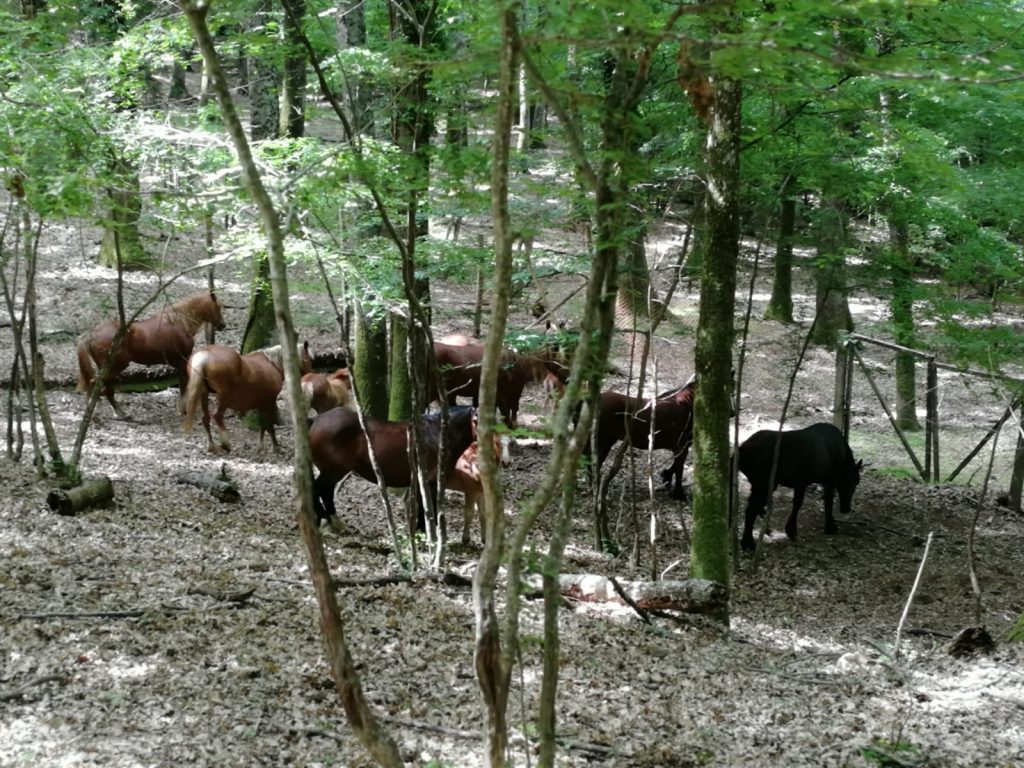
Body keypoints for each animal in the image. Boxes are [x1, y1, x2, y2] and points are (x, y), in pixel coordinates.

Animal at [76, 290, 226, 418]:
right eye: (218, 306)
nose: (223, 325)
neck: (180, 322)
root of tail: (92, 335)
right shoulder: (182, 361)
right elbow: (184, 384)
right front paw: (182, 409)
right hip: (115, 367)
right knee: (100, 386)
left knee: (102, 387)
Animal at [182, 342, 313, 453]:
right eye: (309, 359)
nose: (311, 374)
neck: (272, 363)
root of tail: (204, 354)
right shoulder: (269, 402)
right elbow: (269, 425)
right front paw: (275, 447)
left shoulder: (261, 404)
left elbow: (263, 425)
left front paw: (260, 446)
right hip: (225, 398)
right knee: (217, 416)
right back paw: (226, 444)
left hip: (203, 394)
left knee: (206, 418)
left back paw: (211, 446)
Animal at [309, 405, 478, 533]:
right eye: (475, 420)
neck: (439, 434)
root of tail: (315, 420)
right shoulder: (430, 481)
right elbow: (428, 507)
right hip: (333, 471)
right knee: (318, 491)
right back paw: (323, 519)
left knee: (325, 493)